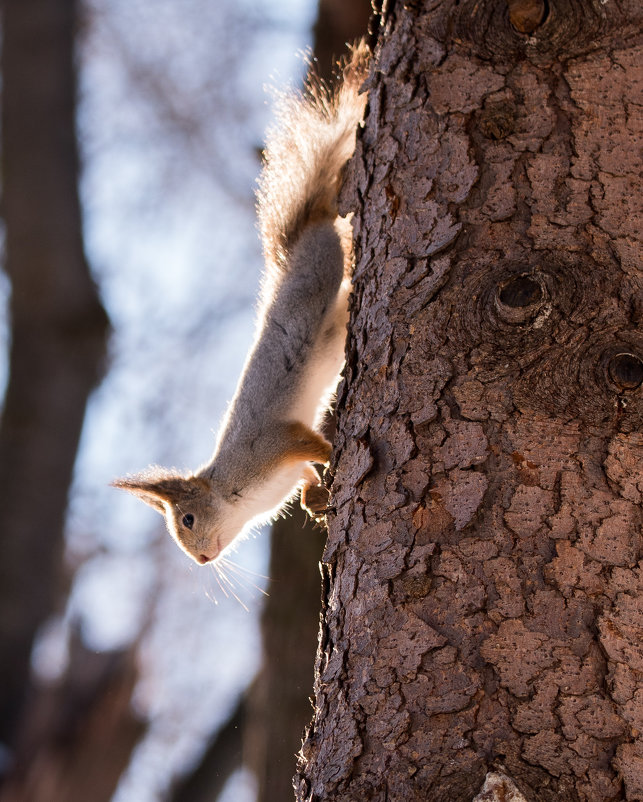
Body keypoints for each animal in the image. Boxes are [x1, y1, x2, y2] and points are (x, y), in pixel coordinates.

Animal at [113, 39, 370, 564]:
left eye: (188, 520)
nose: (200, 560)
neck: (238, 492)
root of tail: (295, 246)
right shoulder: (285, 466)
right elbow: (307, 475)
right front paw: (315, 500)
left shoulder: (273, 443)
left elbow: (312, 445)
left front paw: (334, 461)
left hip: (319, 268)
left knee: (332, 238)